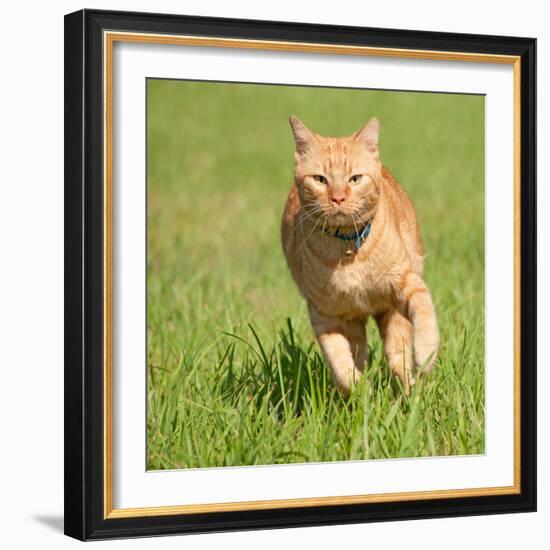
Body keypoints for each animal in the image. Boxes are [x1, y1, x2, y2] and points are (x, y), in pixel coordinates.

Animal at [282, 118, 442, 398]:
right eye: (320, 179)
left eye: (355, 178)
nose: (338, 197)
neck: (348, 249)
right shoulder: (324, 314)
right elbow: (339, 362)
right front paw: (360, 392)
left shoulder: (407, 283)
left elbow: (424, 314)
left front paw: (425, 356)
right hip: (354, 320)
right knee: (360, 353)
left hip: (392, 312)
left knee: (397, 355)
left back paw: (409, 391)